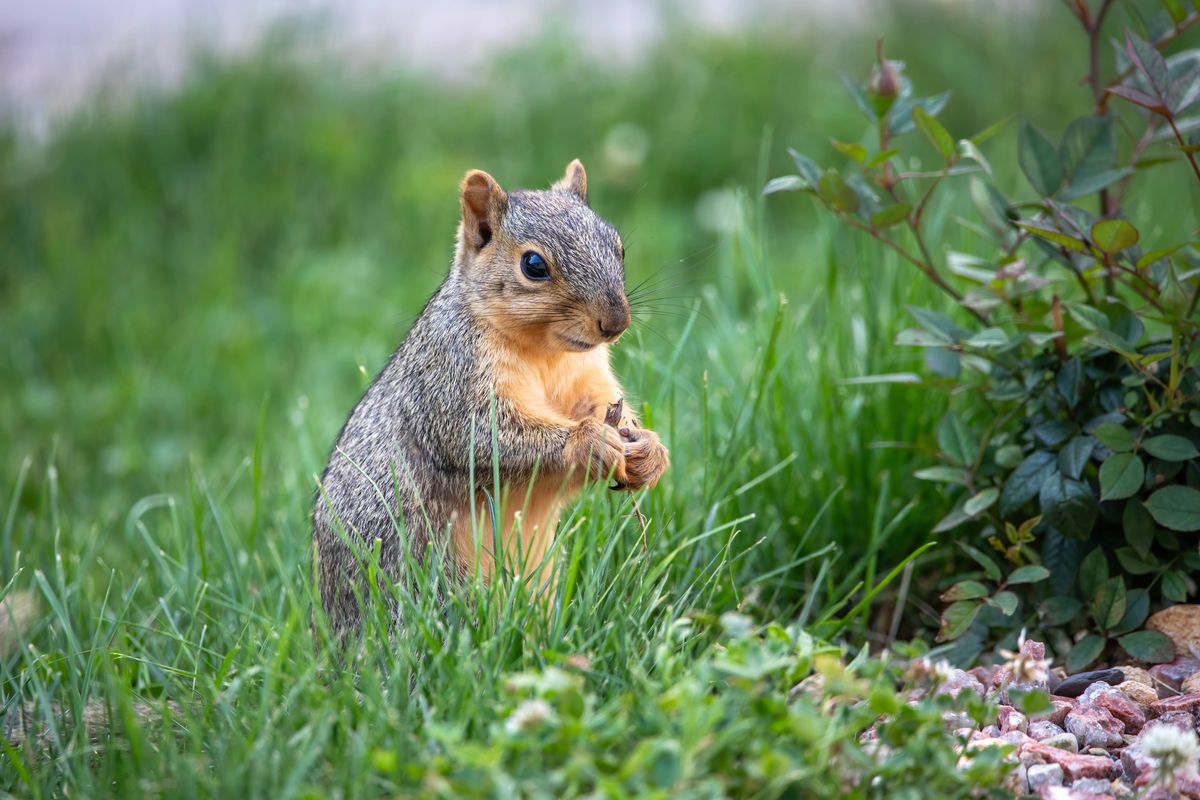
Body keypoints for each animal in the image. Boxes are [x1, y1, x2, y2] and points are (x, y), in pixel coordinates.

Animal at [311, 160, 670, 635]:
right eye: (533, 265)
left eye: (619, 247)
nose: (615, 323)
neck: (545, 352)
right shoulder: (450, 379)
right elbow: (485, 437)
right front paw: (588, 440)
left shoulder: (587, 378)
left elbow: (599, 407)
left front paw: (648, 449)